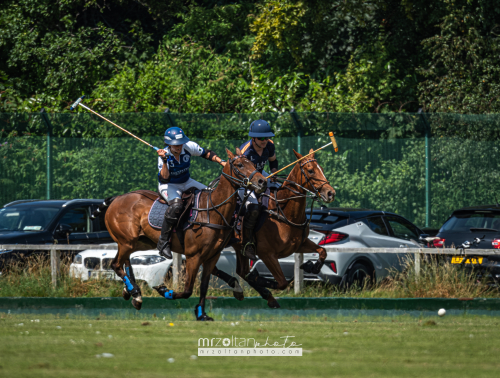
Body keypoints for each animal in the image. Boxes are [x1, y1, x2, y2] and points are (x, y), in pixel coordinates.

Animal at [99, 148, 268, 318]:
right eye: (239, 165)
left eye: (253, 164)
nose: (262, 182)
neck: (213, 210)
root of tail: (116, 199)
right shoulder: (194, 256)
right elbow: (187, 290)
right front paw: (165, 291)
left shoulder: (212, 256)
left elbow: (204, 287)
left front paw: (202, 315)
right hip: (126, 241)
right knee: (116, 264)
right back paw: (135, 292)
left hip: (140, 242)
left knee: (126, 262)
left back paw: (133, 293)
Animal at [212, 148, 336, 308]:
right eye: (310, 170)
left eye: (321, 169)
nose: (331, 193)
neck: (284, 212)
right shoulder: (267, 254)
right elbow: (282, 282)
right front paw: (259, 278)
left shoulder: (300, 244)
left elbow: (322, 251)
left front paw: (311, 267)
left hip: (239, 247)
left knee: (241, 271)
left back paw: (260, 294)